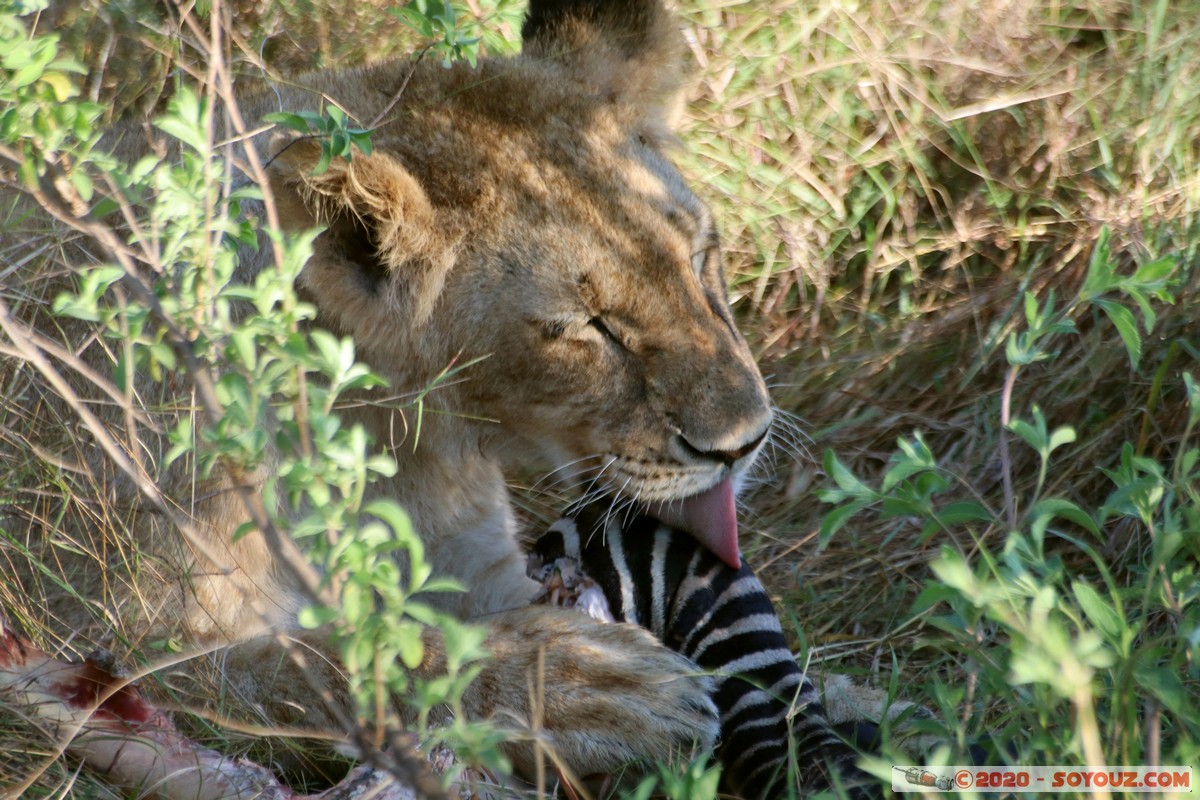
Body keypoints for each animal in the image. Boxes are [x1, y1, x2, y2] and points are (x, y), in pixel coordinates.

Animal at [0, 0, 777, 786]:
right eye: (584, 326)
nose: (745, 442)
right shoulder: (108, 633)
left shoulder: (481, 560)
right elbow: (343, 663)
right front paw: (586, 686)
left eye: (701, 259)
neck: (393, 444)